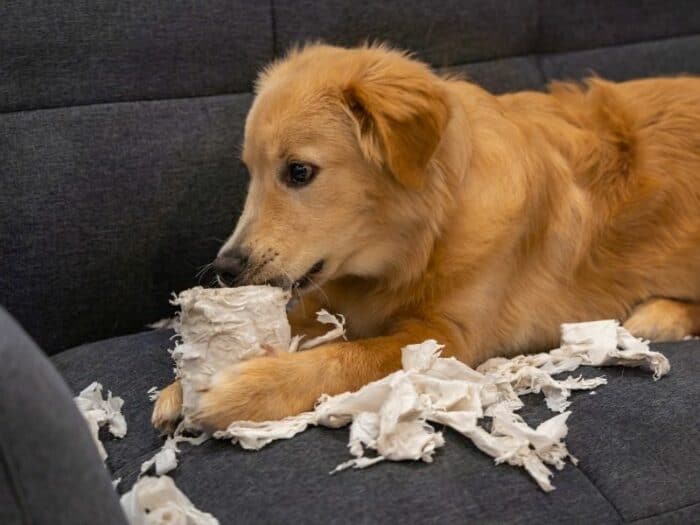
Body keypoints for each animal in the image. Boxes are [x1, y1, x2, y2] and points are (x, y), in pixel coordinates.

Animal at [153, 44, 700, 430]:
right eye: (251, 172)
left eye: (299, 172)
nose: (225, 269)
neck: (423, 239)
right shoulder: (326, 294)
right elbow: (299, 325)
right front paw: (184, 383)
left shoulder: (445, 339)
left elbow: (351, 356)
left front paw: (243, 392)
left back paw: (659, 314)